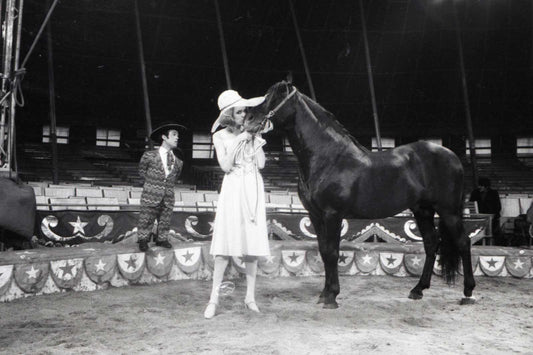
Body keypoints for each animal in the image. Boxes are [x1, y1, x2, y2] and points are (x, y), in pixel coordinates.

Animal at [247, 81, 476, 308]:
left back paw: (468, 292)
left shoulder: (333, 214)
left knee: (463, 242)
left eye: (275, 97)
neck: (328, 157)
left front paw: (332, 297)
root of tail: (452, 156)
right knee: (431, 243)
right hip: (423, 210)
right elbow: (323, 251)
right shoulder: (316, 215)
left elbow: (332, 252)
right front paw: (324, 294)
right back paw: (418, 290)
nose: (248, 119)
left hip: (448, 211)